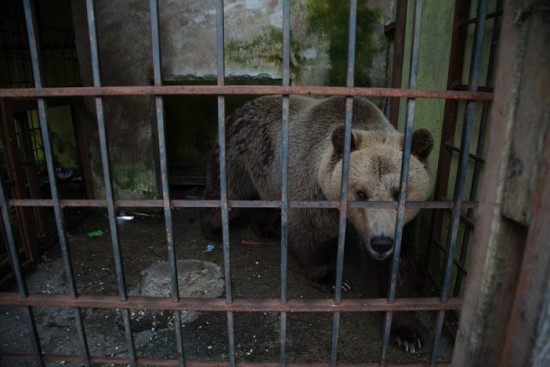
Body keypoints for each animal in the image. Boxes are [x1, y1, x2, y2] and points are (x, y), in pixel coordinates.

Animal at [201, 96, 434, 352]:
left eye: (398, 192)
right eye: (361, 193)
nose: (381, 243)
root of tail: (242, 107)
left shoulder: (403, 224)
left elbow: (399, 266)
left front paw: (406, 333)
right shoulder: (313, 191)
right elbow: (310, 233)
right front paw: (332, 280)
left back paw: (267, 230)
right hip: (240, 154)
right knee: (227, 189)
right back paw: (214, 229)